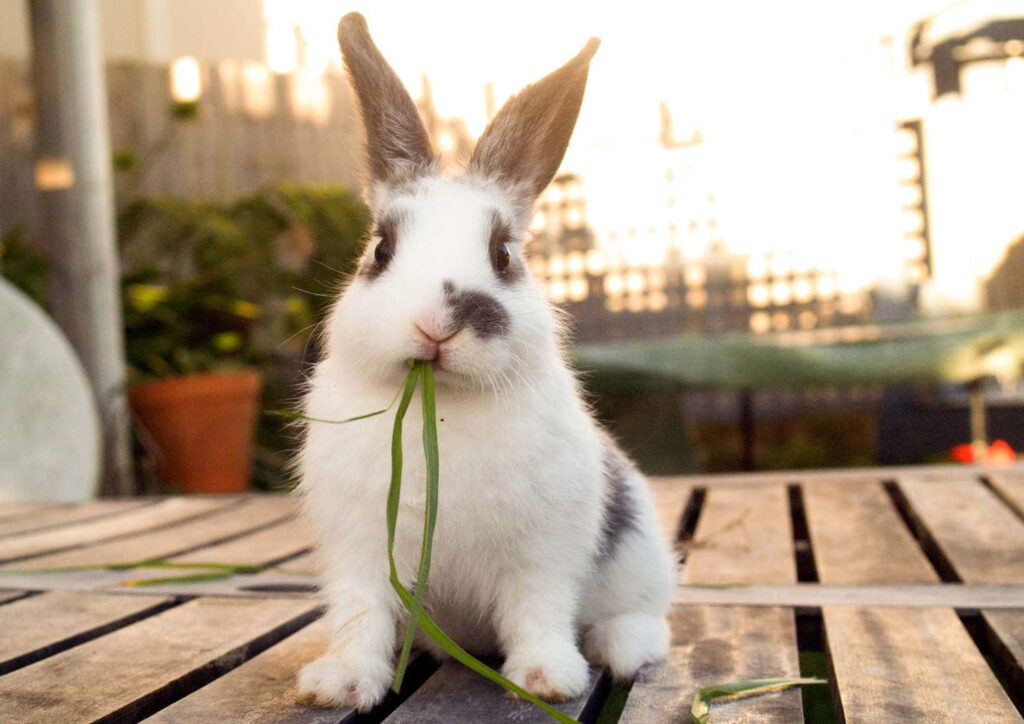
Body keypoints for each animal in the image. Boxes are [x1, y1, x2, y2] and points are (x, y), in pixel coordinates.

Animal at [295, 12, 673, 712]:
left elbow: (538, 611)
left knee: (644, 618)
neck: (441, 408)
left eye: (503, 254)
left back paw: (619, 647)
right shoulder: (359, 552)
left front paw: (547, 679)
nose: (436, 324)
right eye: (381, 249)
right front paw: (337, 684)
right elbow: (361, 616)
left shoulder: (543, 552)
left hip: (639, 556)